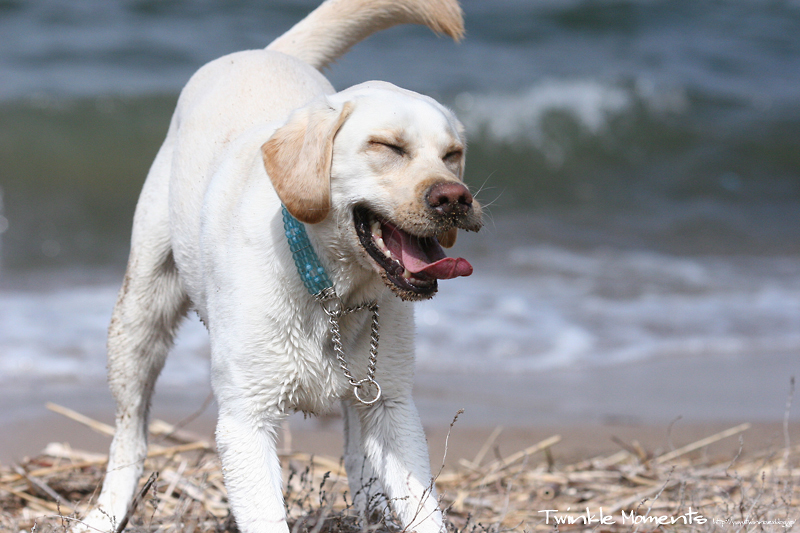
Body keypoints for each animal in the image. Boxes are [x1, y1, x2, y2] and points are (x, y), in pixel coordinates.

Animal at [76, 1, 482, 532]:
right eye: (387, 147)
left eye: (453, 155)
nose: (455, 198)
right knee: (130, 430)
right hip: (138, 317)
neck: (329, 290)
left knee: (356, 452)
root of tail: (262, 52)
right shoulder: (244, 422)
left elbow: (422, 505)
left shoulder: (391, 404)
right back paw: (104, 512)